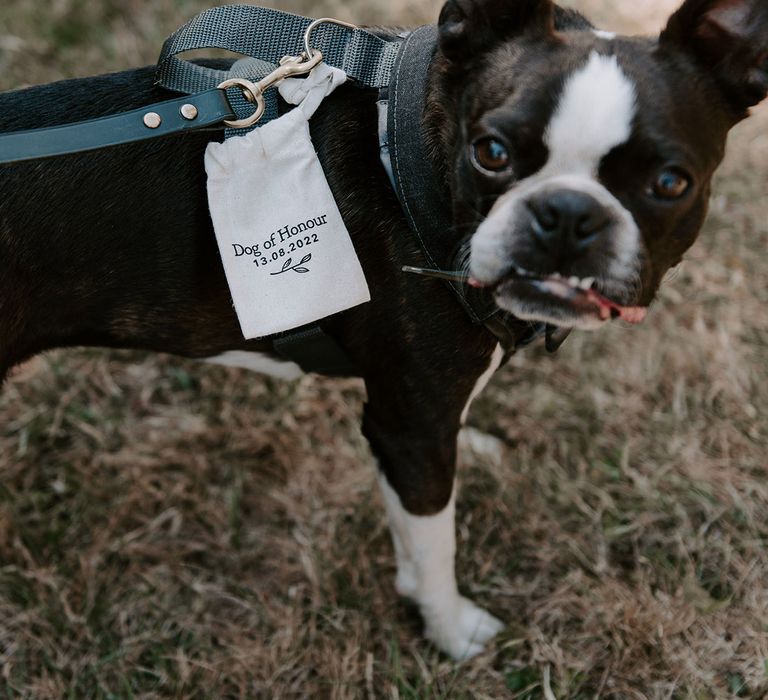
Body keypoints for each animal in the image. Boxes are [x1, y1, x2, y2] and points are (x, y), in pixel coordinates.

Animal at [1, 0, 768, 660]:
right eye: (491, 152)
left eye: (671, 183)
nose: (567, 214)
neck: (409, 158)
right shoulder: (409, 430)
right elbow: (432, 544)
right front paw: (451, 629)